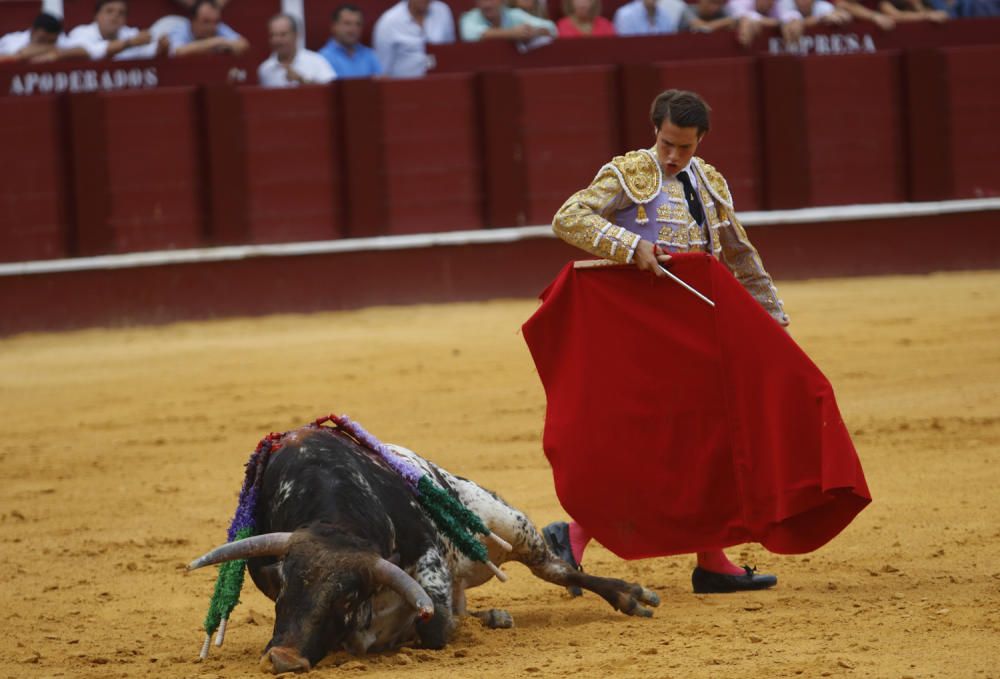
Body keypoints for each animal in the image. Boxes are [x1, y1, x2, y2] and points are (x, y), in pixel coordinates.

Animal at [188, 424, 660, 676]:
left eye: (346, 598)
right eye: (284, 590)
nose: (284, 659)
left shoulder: (426, 559)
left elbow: (434, 627)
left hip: (506, 523)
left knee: (556, 569)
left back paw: (629, 594)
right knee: (465, 603)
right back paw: (493, 615)